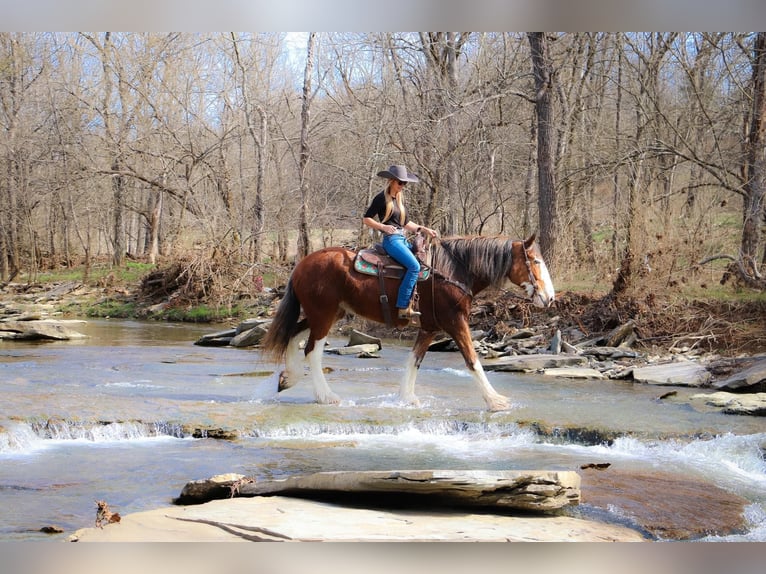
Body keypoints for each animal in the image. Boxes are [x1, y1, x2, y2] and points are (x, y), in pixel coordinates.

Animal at [260, 235, 556, 414]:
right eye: (535, 261)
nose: (550, 297)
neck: (453, 271)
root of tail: (301, 264)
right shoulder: (455, 322)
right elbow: (472, 360)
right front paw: (495, 401)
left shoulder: (429, 328)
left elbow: (414, 360)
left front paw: (406, 397)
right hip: (324, 315)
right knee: (312, 350)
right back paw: (325, 395)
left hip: (329, 314)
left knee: (293, 334)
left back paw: (288, 378)